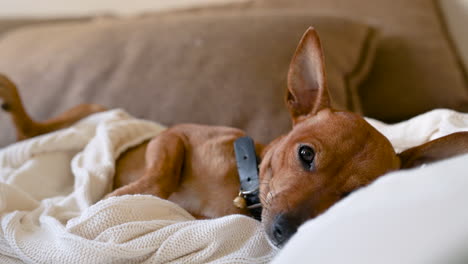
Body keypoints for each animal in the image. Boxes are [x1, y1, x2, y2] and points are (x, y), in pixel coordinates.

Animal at [0, 27, 468, 246]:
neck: (242, 183)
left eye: (354, 195)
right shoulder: (174, 136)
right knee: (33, 127)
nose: (286, 231)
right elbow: (158, 175)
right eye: (305, 154)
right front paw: (114, 198)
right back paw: (11, 96)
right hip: (88, 109)